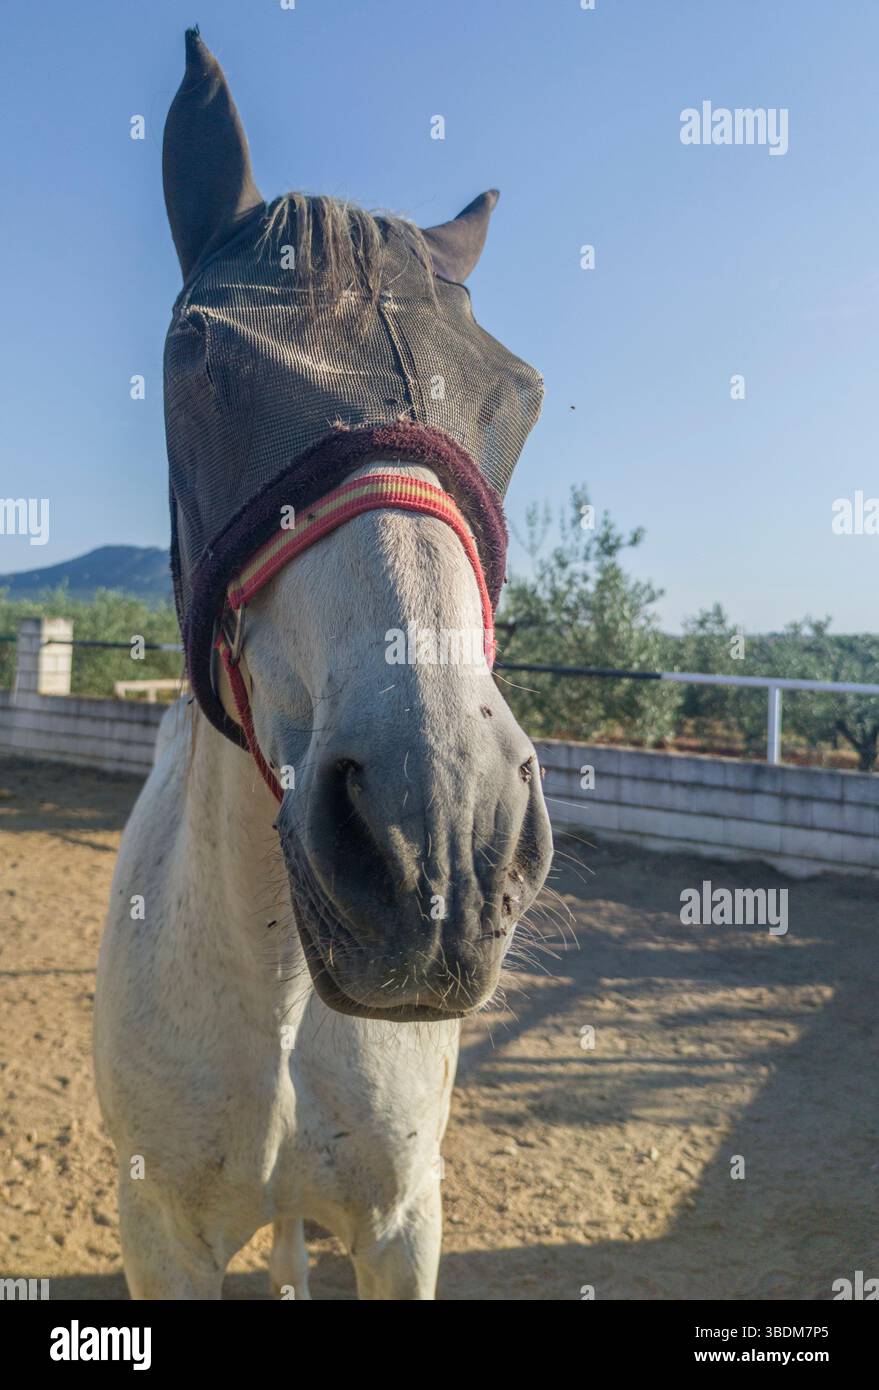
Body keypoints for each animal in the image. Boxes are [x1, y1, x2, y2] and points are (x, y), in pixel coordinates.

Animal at [94, 30, 553, 1301]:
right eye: (194, 353)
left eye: (520, 395)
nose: (437, 835)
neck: (284, 995)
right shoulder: (161, 1234)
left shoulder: (402, 1220)